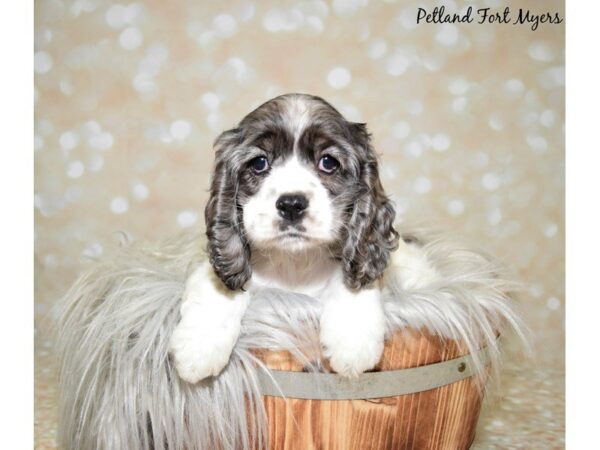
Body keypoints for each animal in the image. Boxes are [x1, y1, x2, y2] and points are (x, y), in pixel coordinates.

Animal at [171, 93, 434, 382]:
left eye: (328, 162)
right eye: (259, 163)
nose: (291, 205)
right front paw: (197, 349)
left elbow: (353, 283)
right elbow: (216, 290)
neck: (294, 262)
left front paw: (353, 343)